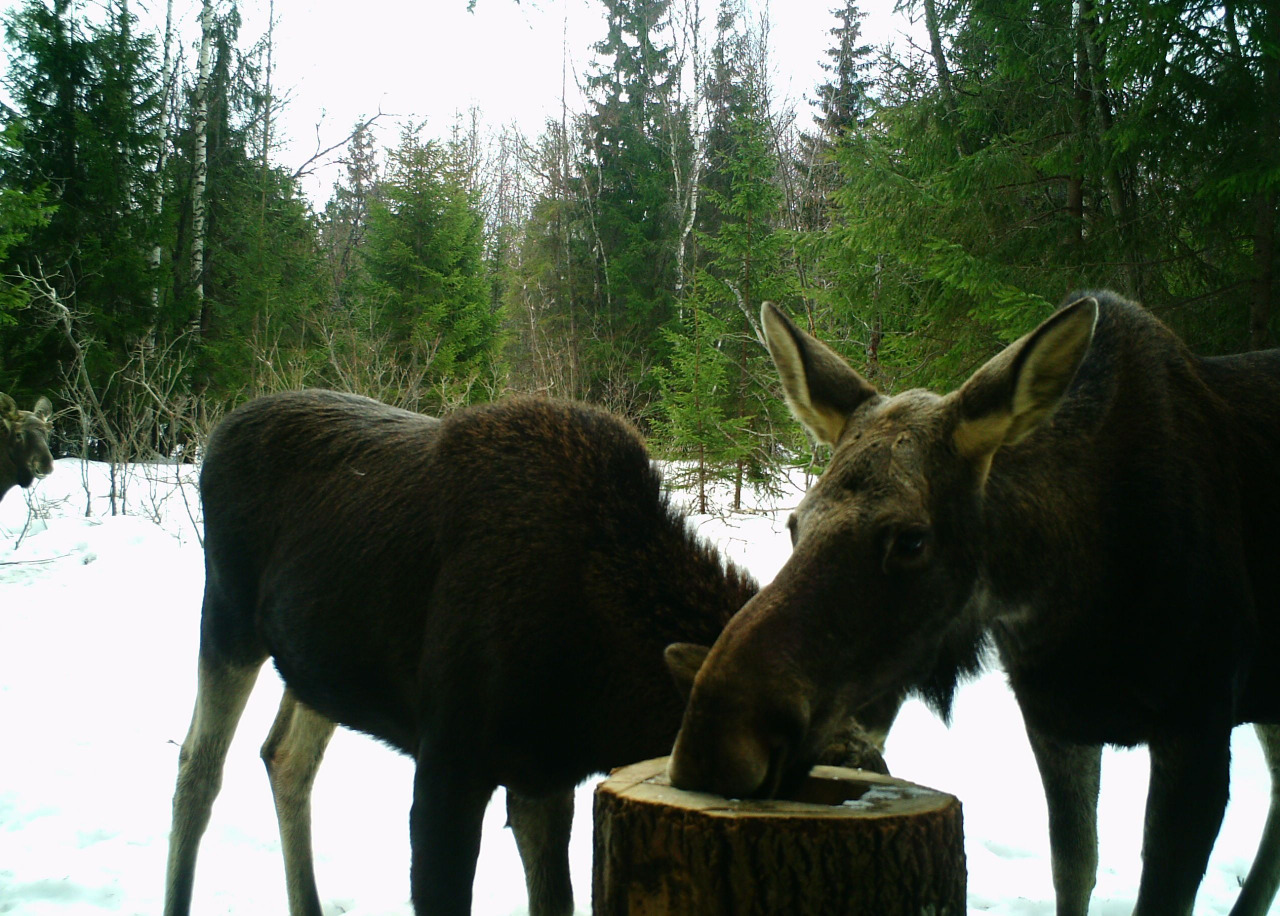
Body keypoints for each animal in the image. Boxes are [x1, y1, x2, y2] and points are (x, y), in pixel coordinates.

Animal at [665, 291, 1280, 916]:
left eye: (911, 540)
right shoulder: (1055, 723)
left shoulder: (1199, 724)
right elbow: (1073, 868)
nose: (712, 745)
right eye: (795, 523)